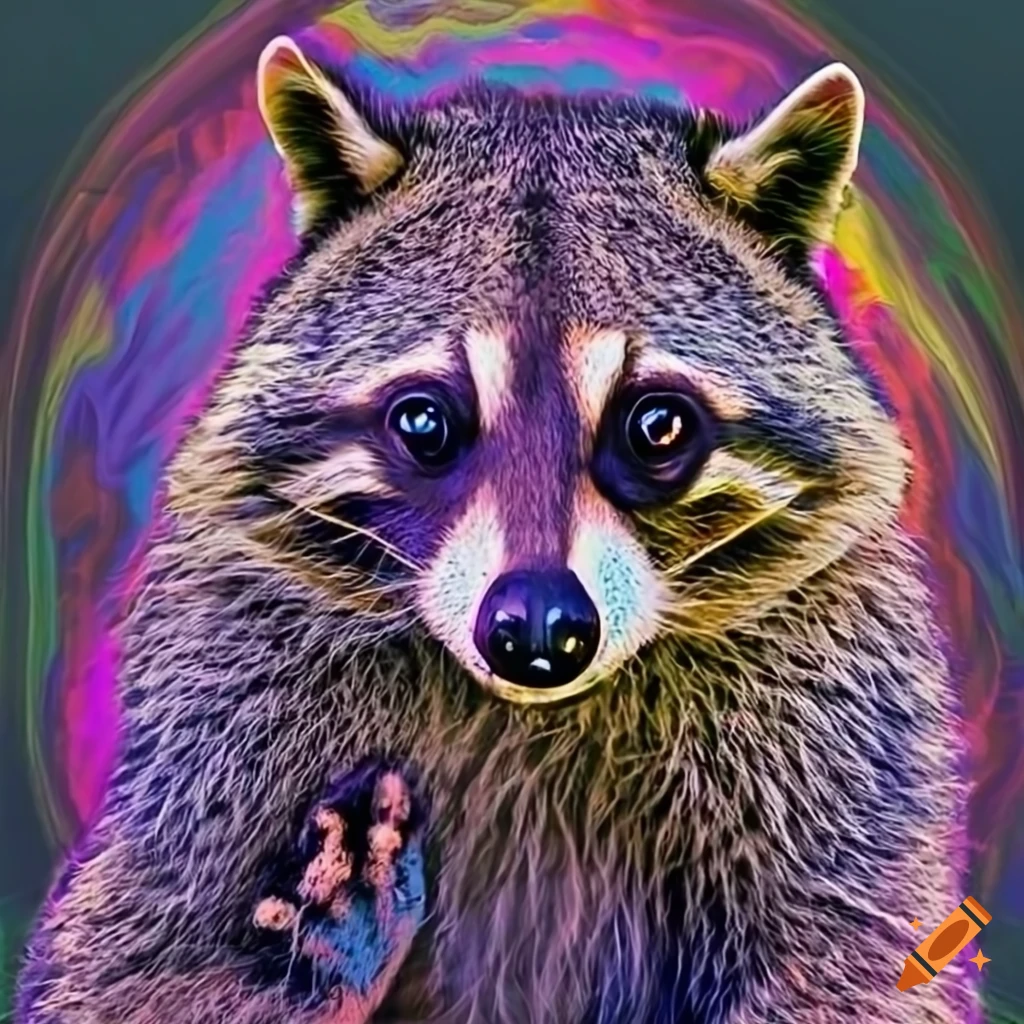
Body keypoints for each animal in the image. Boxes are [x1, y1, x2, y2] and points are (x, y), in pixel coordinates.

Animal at [17, 34, 979, 1024]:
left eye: (656, 425)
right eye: (424, 422)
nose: (540, 631)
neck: (535, 713)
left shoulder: (838, 745)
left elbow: (844, 958)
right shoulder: (214, 736)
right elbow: (137, 964)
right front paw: (316, 967)